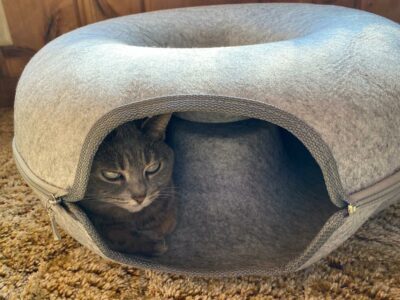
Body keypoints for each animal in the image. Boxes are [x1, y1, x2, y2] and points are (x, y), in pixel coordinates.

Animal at [78, 114, 177, 255]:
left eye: (153, 168)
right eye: (111, 174)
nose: (140, 197)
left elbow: (169, 219)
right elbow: (119, 237)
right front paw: (153, 243)